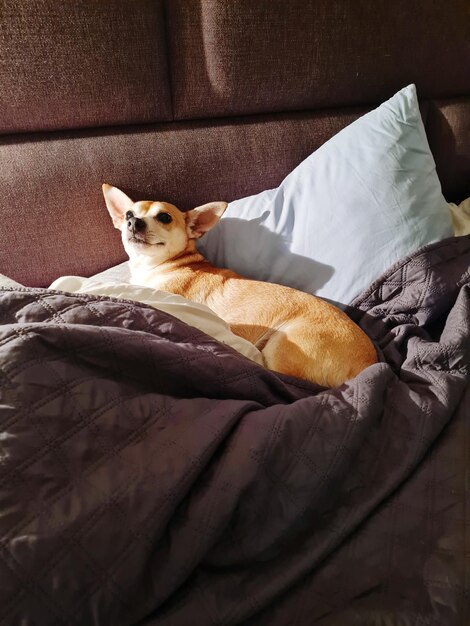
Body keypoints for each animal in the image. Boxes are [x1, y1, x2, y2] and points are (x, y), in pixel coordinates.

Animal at [103, 183, 378, 386]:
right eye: (129, 214)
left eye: (164, 217)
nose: (133, 222)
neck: (162, 266)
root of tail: (366, 366)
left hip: (282, 345)